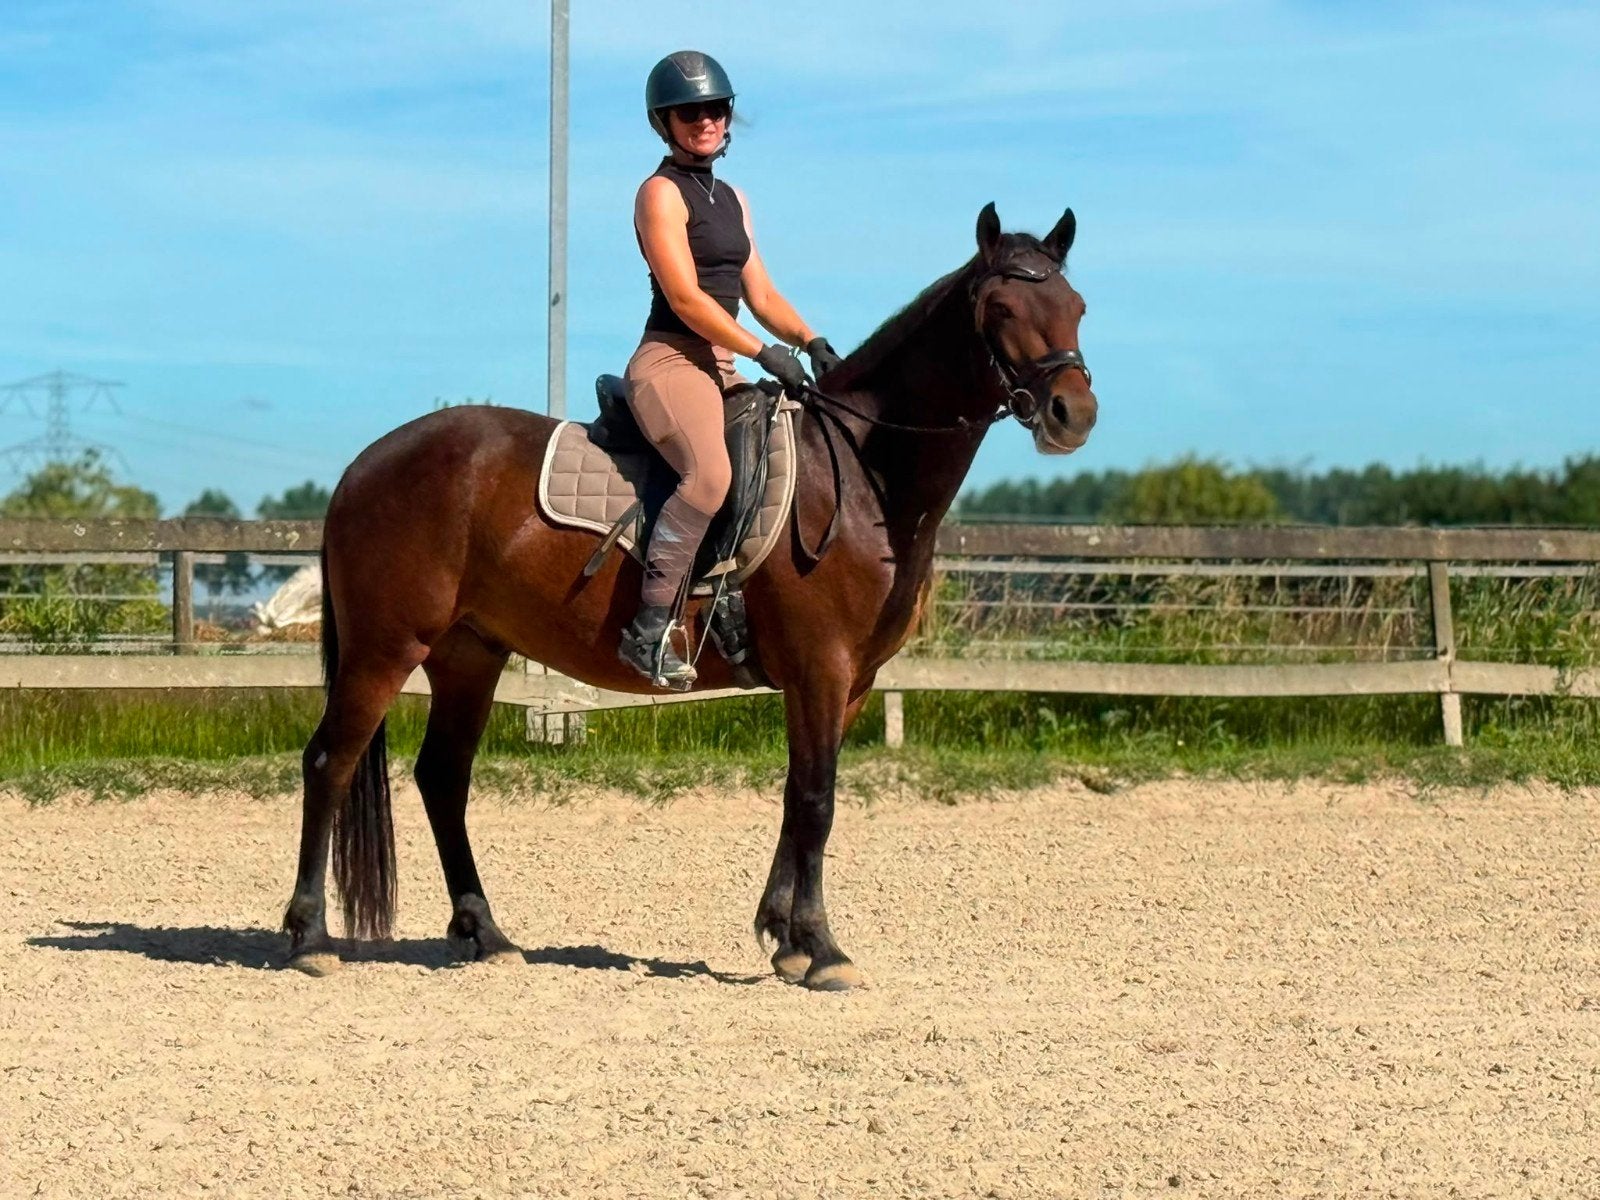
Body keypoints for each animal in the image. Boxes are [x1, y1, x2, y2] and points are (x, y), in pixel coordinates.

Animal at [281, 202, 1097, 990]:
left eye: (1077, 306)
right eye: (999, 308)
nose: (1074, 414)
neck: (862, 474)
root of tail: (365, 465)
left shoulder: (850, 683)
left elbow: (798, 796)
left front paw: (786, 940)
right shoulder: (821, 669)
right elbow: (817, 800)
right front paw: (824, 950)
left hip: (469, 655)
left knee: (442, 778)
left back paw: (487, 935)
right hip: (386, 648)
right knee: (330, 763)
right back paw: (311, 937)